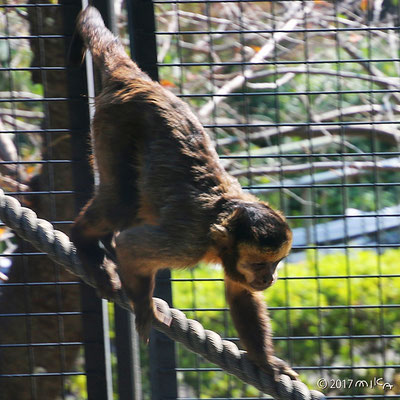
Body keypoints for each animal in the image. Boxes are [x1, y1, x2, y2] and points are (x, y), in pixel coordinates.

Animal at [71, 6, 296, 382]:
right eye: (260, 264)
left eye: (276, 263)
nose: (270, 277)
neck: (220, 225)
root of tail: (135, 78)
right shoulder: (189, 244)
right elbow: (134, 246)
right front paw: (143, 306)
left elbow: (241, 294)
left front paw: (265, 361)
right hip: (113, 121)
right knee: (121, 202)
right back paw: (85, 243)